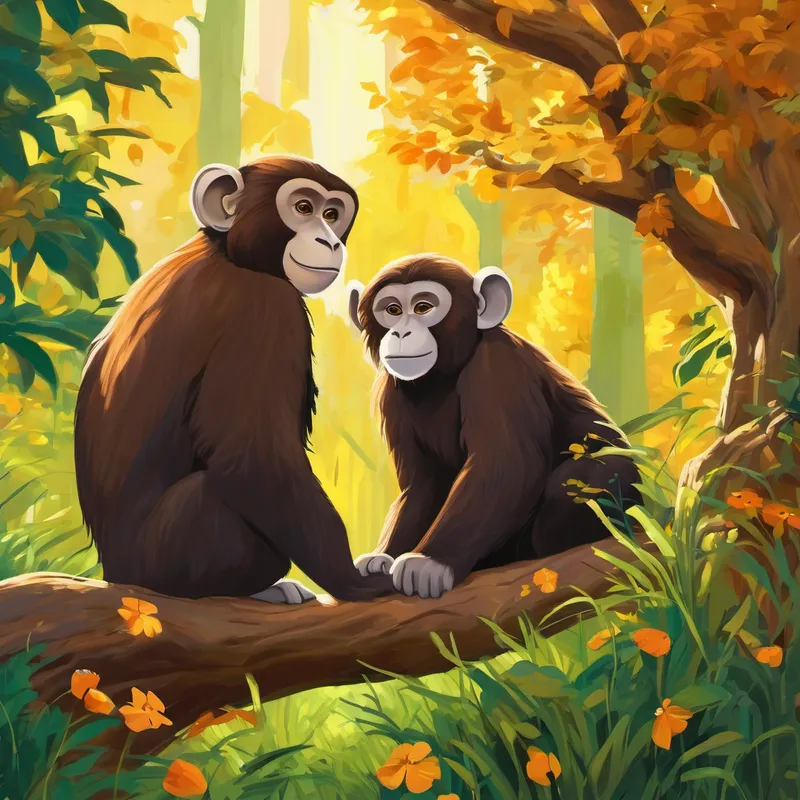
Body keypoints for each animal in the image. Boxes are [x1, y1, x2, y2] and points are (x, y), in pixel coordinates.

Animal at [74, 155, 393, 603]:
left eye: (332, 214)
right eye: (303, 208)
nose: (330, 240)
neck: (228, 253)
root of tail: (118, 574)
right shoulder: (263, 309)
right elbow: (254, 460)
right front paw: (354, 581)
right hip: (175, 554)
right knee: (211, 494)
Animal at [347, 254, 642, 599]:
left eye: (423, 307)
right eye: (392, 310)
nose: (401, 333)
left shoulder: (498, 365)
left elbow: (506, 467)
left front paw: (429, 562)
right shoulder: (390, 394)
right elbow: (422, 484)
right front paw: (383, 558)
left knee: (583, 478)